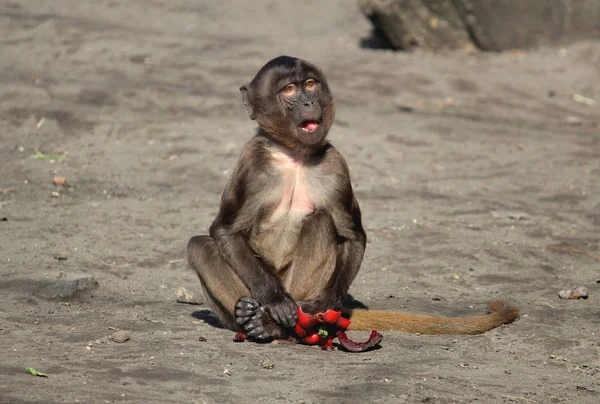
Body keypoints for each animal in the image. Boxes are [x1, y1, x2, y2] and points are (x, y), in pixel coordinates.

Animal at [185, 56, 516, 340]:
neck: (295, 155)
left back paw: (279, 323)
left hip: (299, 287)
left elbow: (354, 235)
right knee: (200, 246)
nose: (308, 102)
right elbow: (225, 231)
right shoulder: (251, 161)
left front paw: (320, 306)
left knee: (320, 220)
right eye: (289, 90)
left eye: (310, 84)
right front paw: (276, 302)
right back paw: (249, 315)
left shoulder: (336, 166)